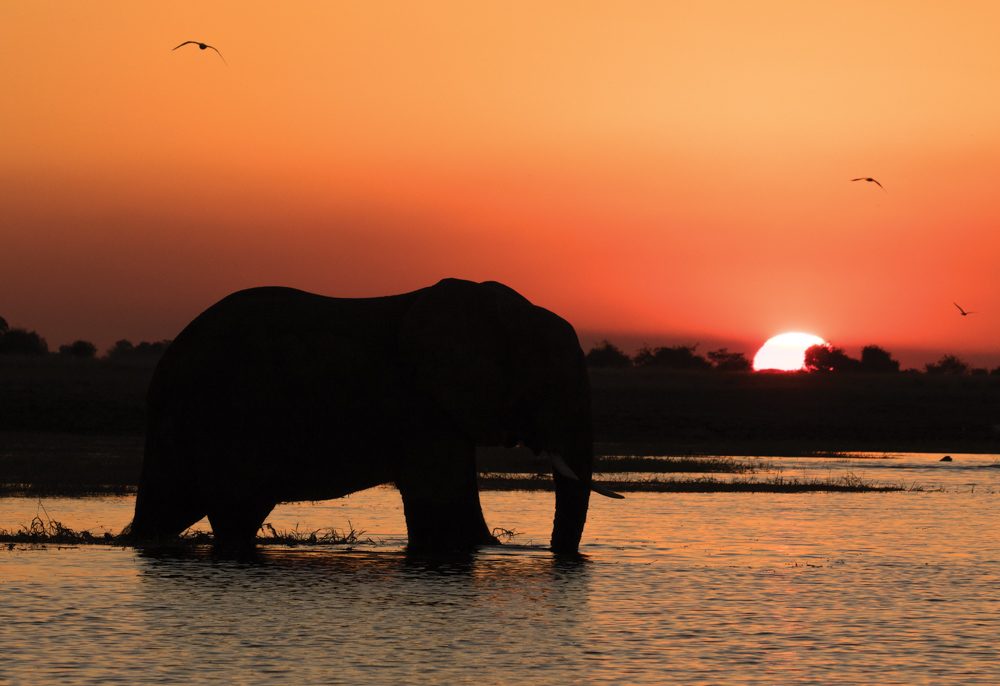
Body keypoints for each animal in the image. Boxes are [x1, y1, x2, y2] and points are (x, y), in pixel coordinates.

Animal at [128, 278, 618, 553]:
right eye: (547, 387)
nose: (557, 554)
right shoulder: (421, 403)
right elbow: (443, 500)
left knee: (174, 504)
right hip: (227, 413)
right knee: (235, 509)